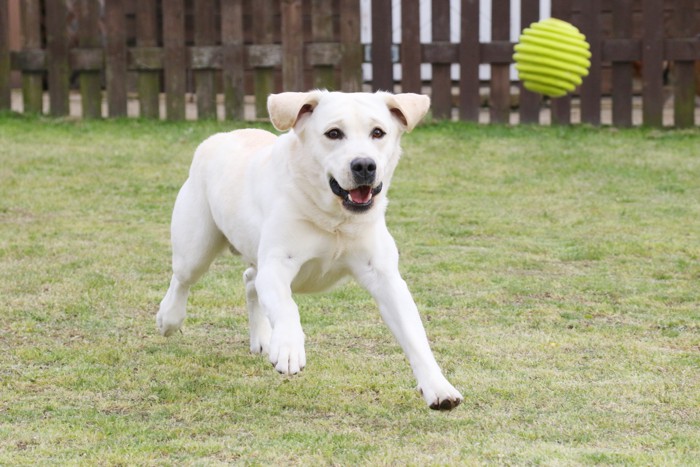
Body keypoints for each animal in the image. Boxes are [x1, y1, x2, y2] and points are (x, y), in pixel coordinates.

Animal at [159, 90, 464, 410]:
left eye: (378, 132)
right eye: (334, 133)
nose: (364, 165)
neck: (335, 219)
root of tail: (218, 137)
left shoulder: (386, 277)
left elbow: (414, 335)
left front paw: (438, 387)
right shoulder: (278, 265)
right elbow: (287, 306)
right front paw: (289, 347)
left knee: (250, 279)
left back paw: (262, 338)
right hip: (196, 247)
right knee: (182, 280)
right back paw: (169, 318)